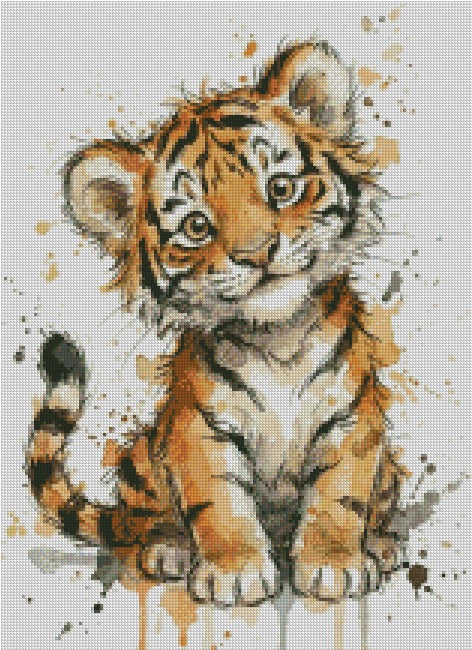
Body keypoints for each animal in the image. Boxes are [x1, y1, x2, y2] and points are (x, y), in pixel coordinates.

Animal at [26, 41, 407, 607]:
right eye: (196, 226)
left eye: (281, 188)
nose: (257, 253)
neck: (278, 340)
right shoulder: (198, 426)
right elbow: (217, 500)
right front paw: (236, 572)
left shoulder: (350, 416)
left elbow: (341, 494)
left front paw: (333, 564)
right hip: (142, 458)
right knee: (145, 520)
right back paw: (167, 549)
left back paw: (380, 545)